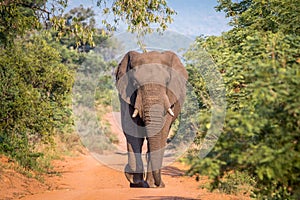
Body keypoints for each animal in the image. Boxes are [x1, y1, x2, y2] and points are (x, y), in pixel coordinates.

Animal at [115, 50, 188, 188]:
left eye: (167, 81)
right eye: (135, 82)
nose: (161, 184)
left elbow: (162, 129)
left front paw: (150, 184)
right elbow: (132, 129)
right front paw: (135, 181)